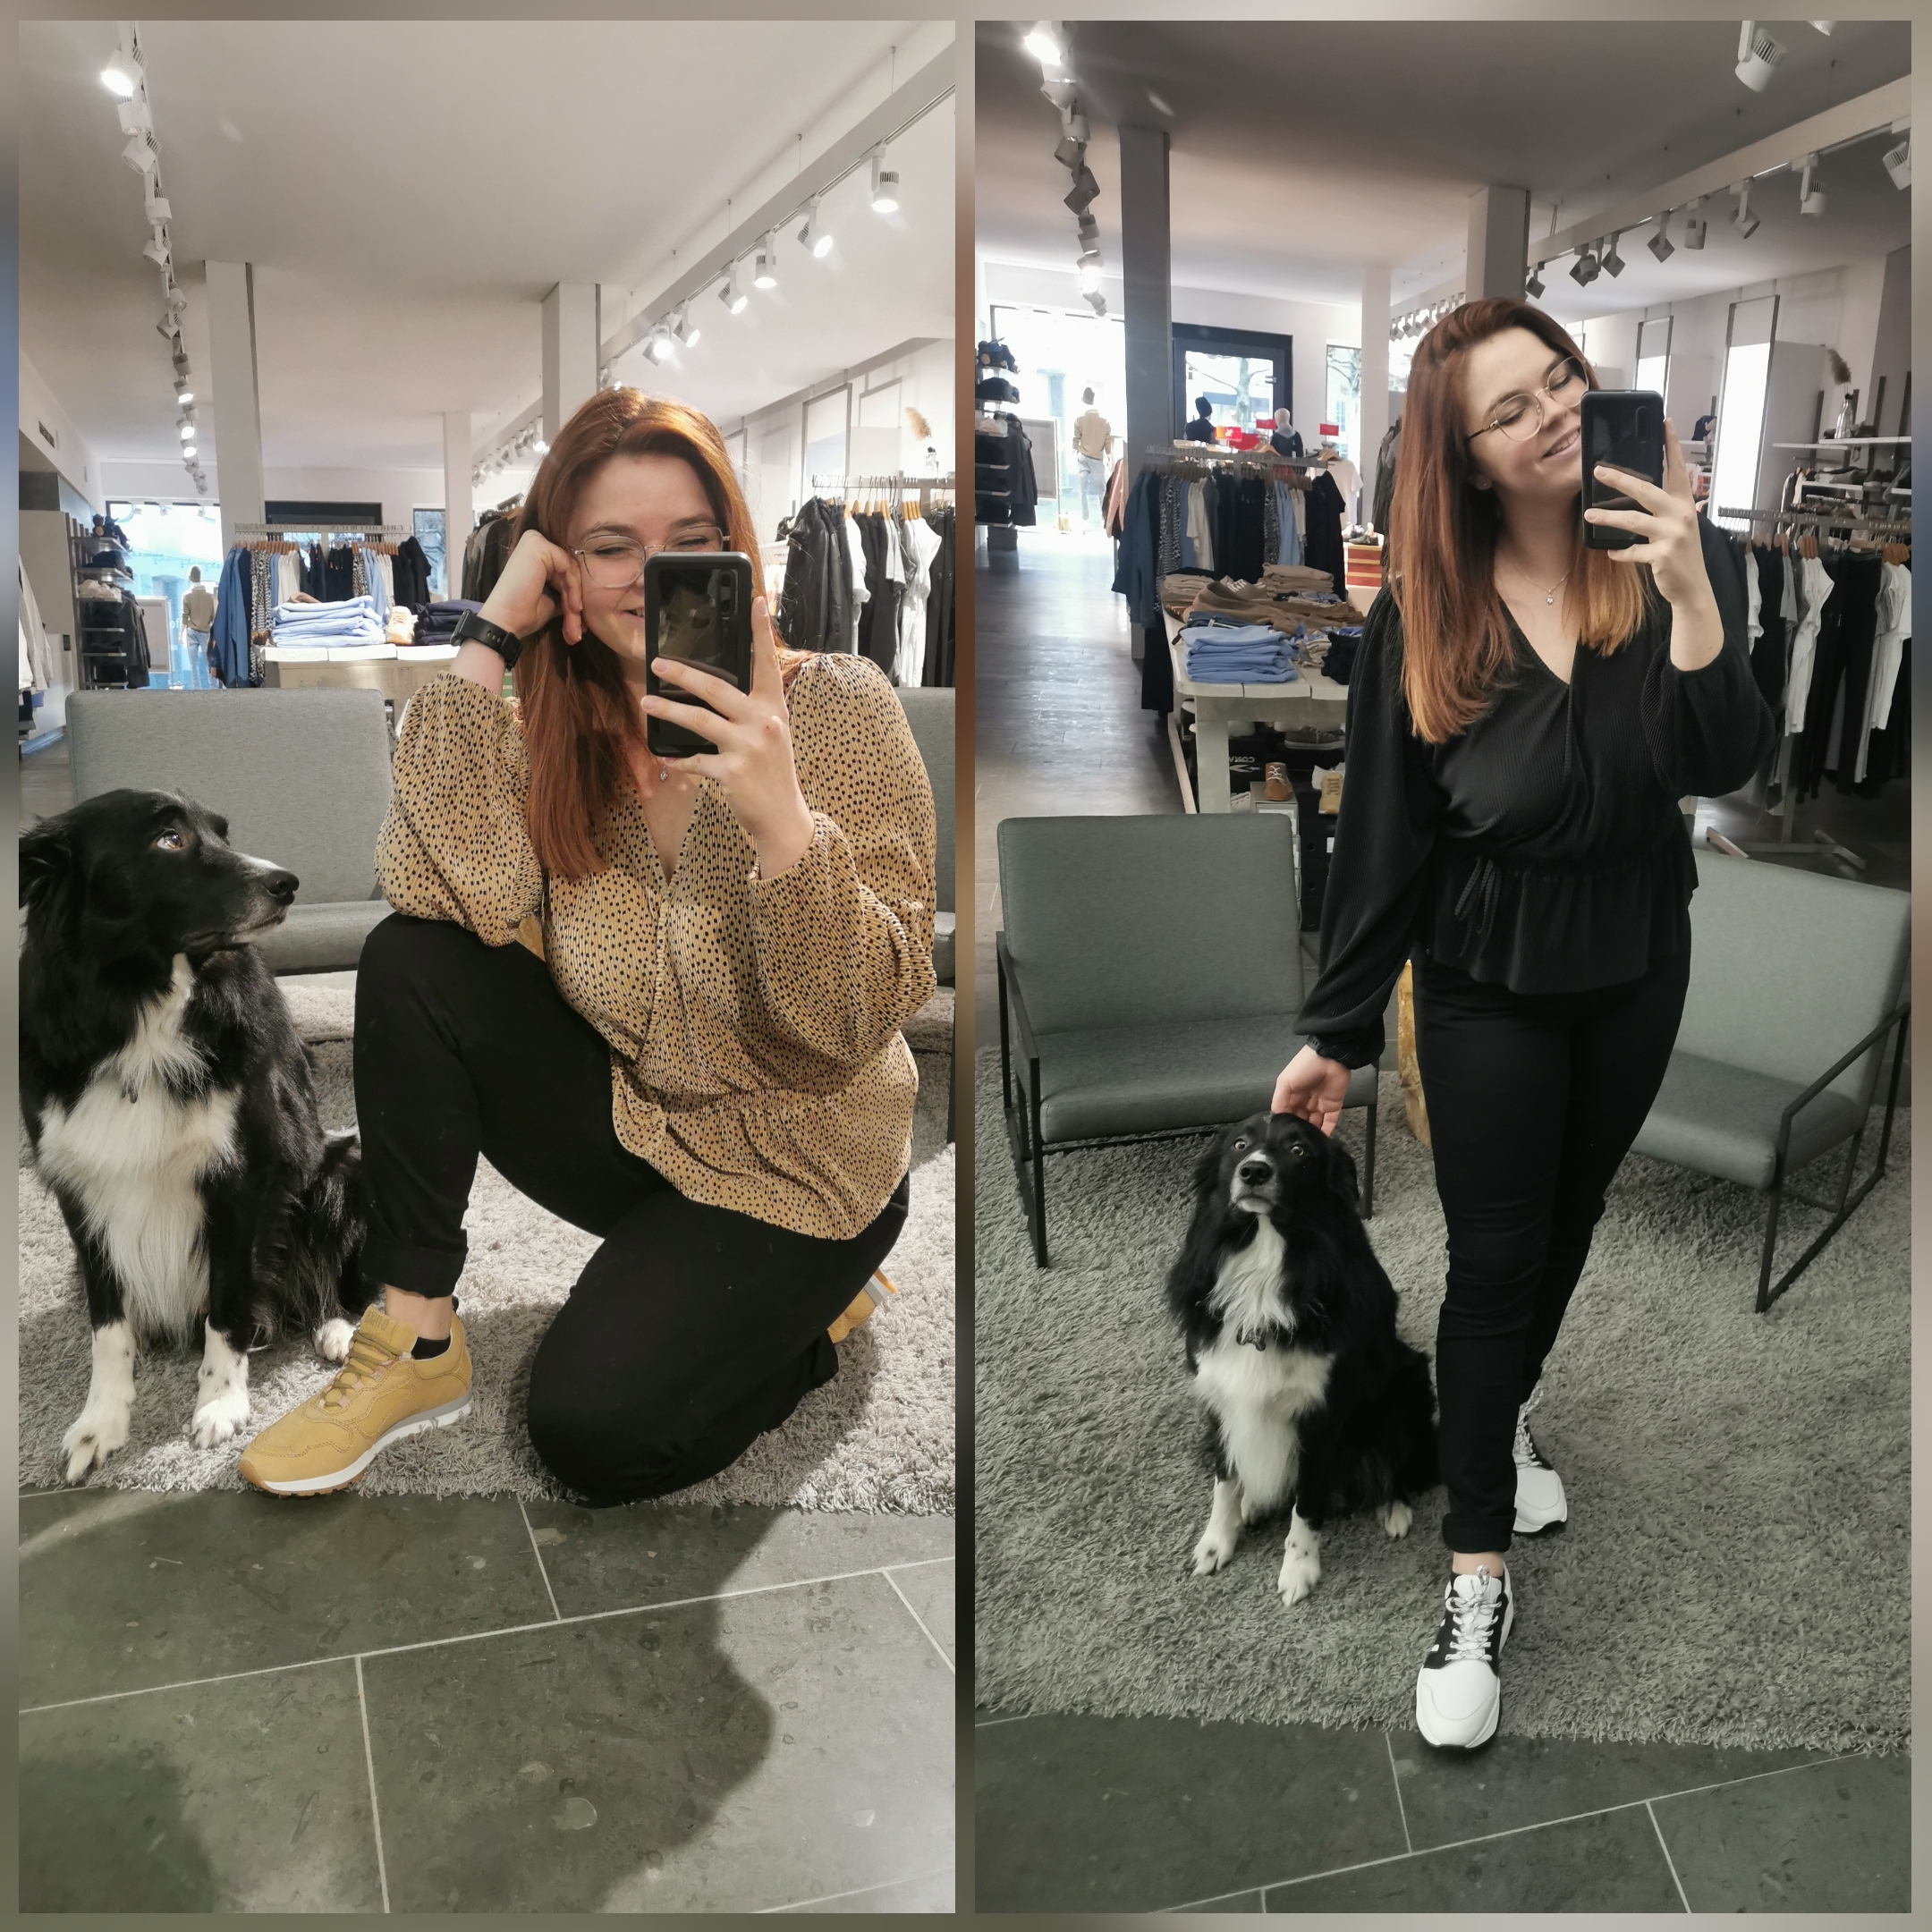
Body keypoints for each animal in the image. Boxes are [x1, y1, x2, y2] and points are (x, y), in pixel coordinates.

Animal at [20, 788, 375, 1484]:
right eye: (169, 839)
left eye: (222, 833)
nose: (286, 883)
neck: (139, 1006)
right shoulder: (78, 1187)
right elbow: (107, 1323)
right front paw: (100, 1422)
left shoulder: (241, 1179)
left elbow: (228, 1302)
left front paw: (220, 1403)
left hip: (343, 1168)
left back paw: (337, 1330)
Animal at [1166, 1110, 1439, 1605]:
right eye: (1239, 1144)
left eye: (1299, 1151)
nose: (1254, 1172)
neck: (1265, 1260)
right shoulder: (1220, 1396)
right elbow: (1224, 1481)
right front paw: (1216, 1543)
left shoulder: (1322, 1414)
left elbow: (1308, 1501)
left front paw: (1299, 1570)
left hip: (1407, 1387)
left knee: (1402, 1465)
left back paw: (1393, 1509)